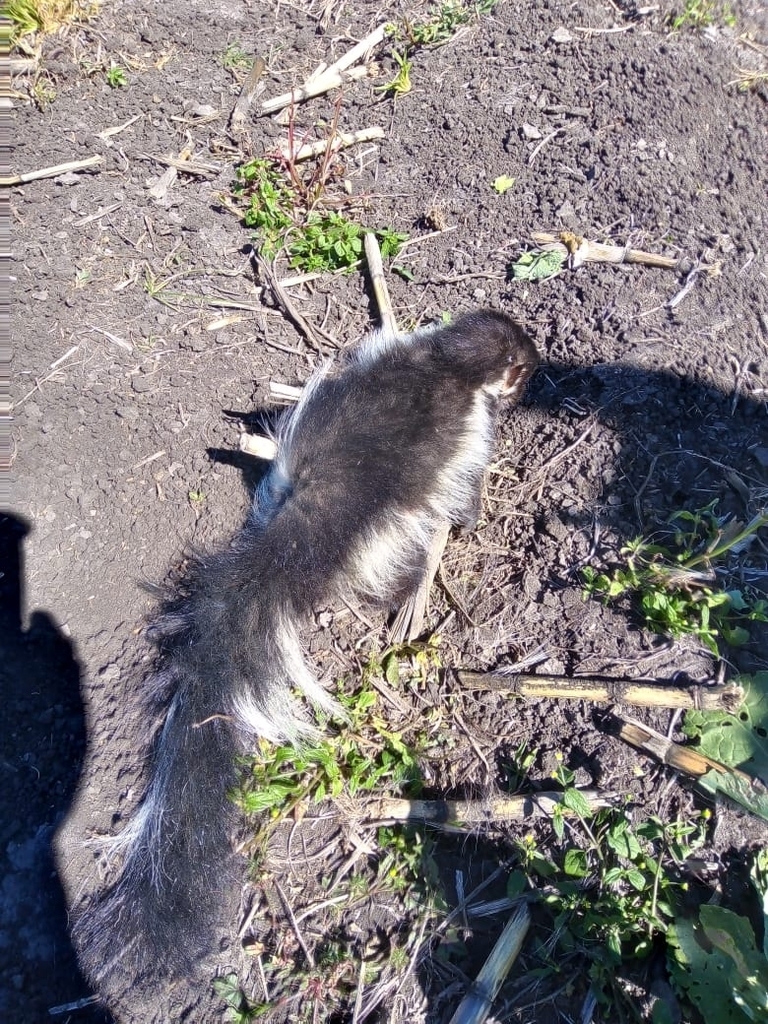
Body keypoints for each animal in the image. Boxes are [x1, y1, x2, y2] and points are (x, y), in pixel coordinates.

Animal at [75, 307, 536, 1003]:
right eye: (524, 367)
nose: (534, 373)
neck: (446, 361)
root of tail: (314, 509)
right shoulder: (469, 429)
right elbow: (468, 485)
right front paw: (475, 515)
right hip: (386, 528)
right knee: (398, 549)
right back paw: (404, 592)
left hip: (289, 469)